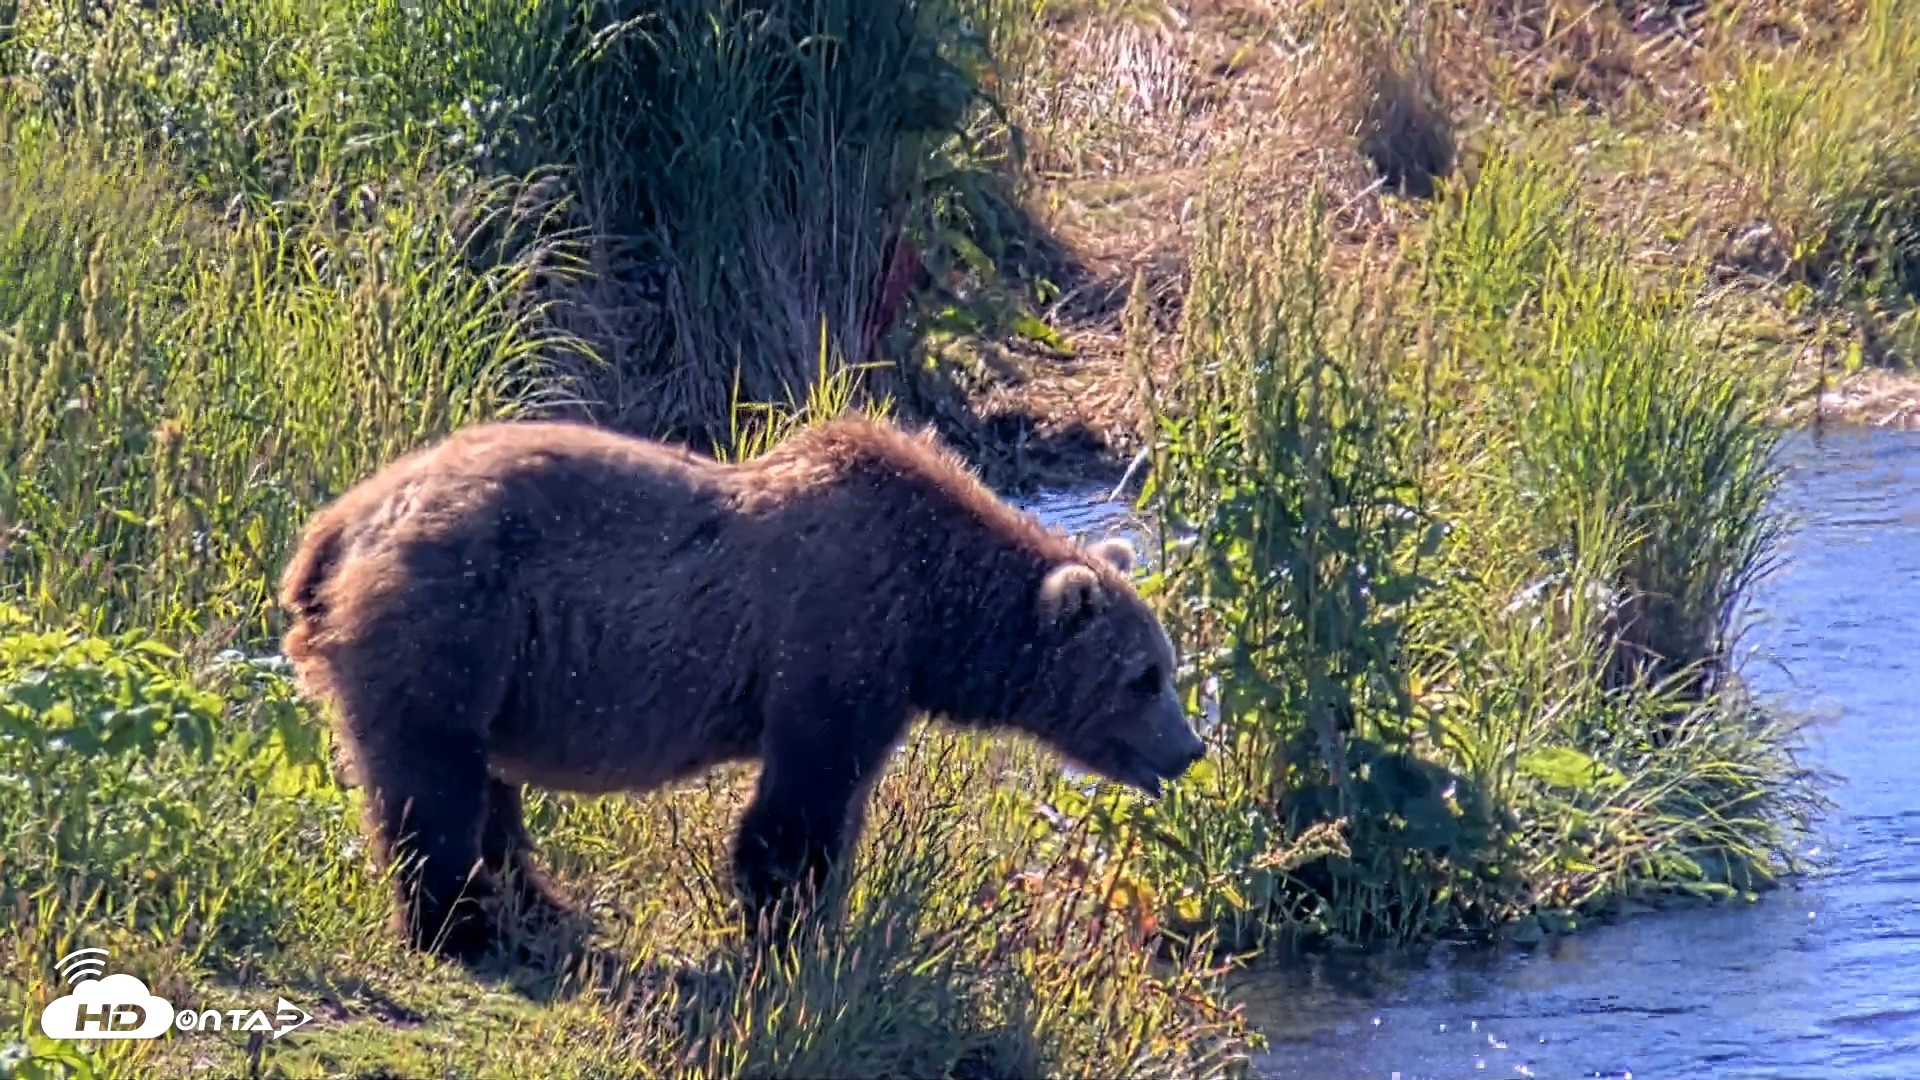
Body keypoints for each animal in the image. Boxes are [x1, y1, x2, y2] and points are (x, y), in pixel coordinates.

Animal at [276, 414, 1207, 961]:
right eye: (1145, 677)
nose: (1191, 749)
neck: (934, 608)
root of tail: (335, 528)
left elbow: (837, 804)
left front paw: (815, 919)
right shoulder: (834, 638)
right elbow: (800, 801)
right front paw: (790, 925)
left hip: (496, 659)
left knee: (483, 786)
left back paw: (539, 908)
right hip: (456, 613)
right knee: (431, 779)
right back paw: (457, 929)